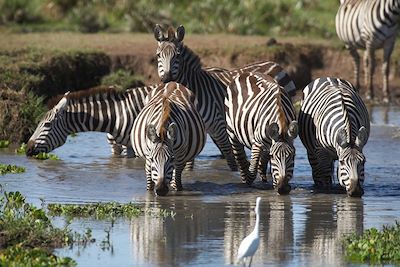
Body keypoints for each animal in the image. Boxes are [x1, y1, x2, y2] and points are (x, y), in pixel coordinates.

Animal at [155, 24, 298, 172]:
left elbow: (230, 158)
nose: (167, 79)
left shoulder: (218, 125)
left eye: (177, 56)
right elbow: (189, 162)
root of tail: (276, 64)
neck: (195, 88)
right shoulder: (195, 127)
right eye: (158, 55)